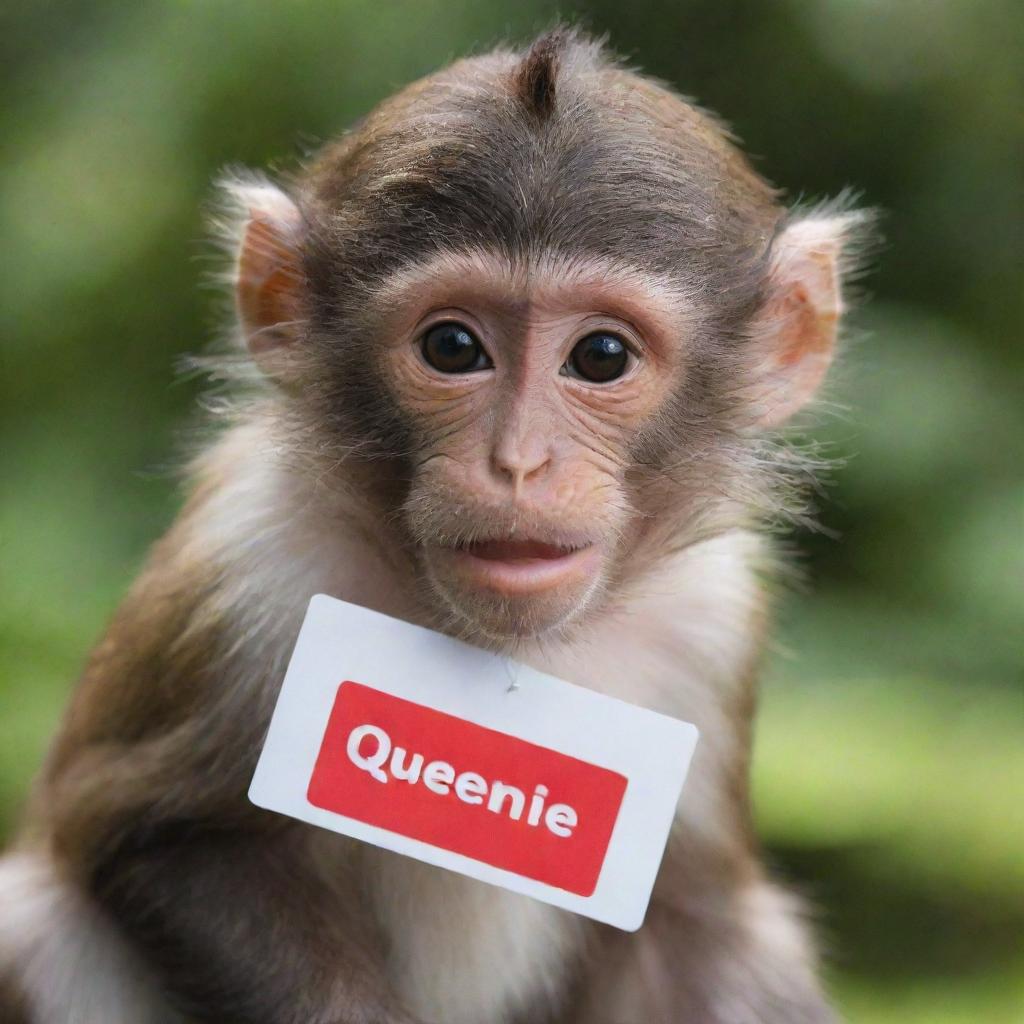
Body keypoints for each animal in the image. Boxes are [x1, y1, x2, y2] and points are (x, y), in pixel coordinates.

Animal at [0, 22, 868, 1024]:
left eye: (601, 357)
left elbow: (695, 924)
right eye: (452, 347)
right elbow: (162, 839)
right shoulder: (247, 560)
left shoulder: (714, 618)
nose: (519, 462)